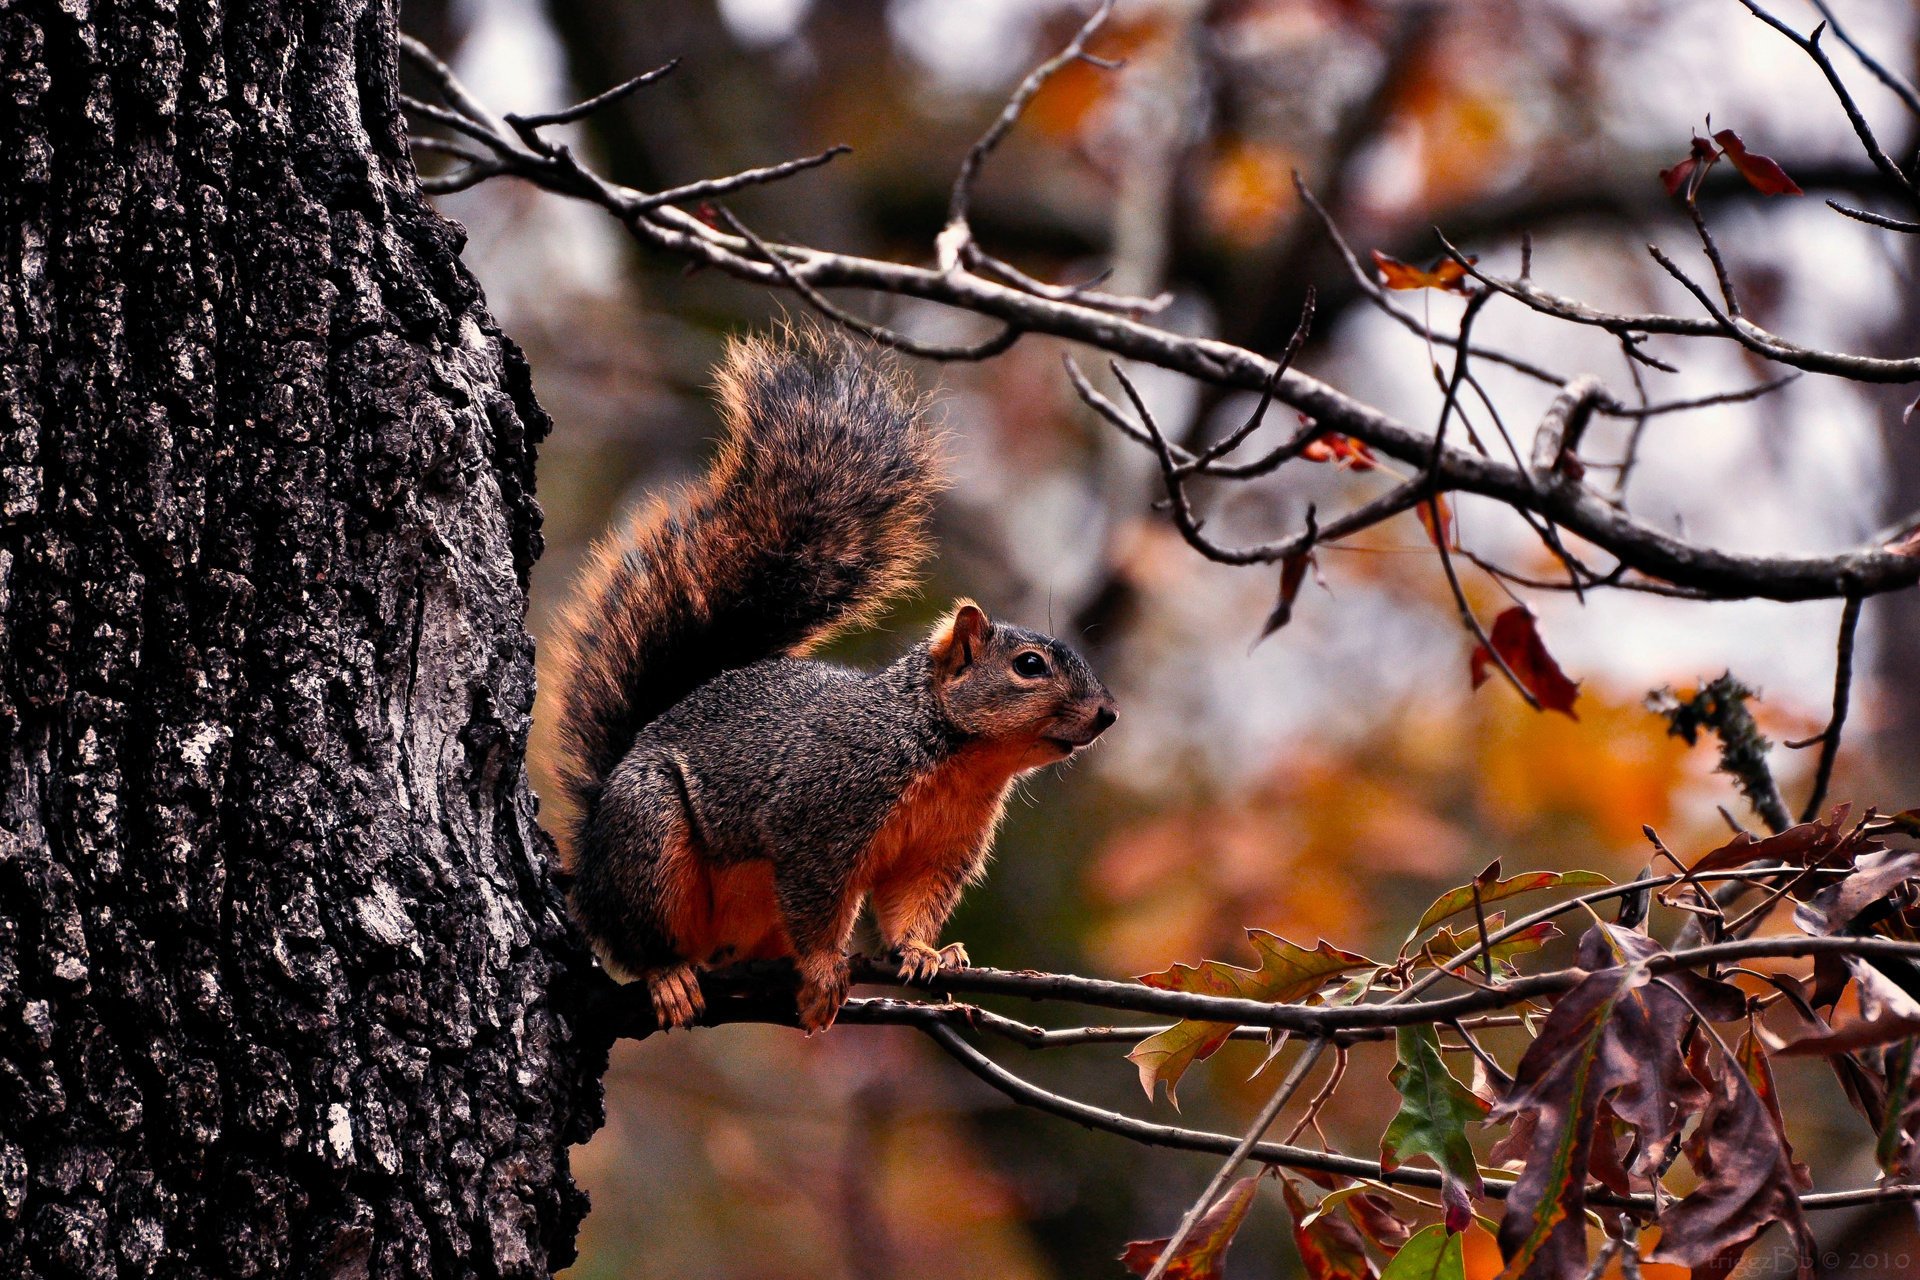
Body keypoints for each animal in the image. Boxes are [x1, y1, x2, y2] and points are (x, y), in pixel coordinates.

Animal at [549, 326, 1121, 1036]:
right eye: (1030, 666)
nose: (1107, 713)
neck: (956, 756)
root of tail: (590, 848)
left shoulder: (940, 848)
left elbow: (911, 903)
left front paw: (926, 951)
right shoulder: (822, 816)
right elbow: (817, 899)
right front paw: (824, 969)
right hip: (647, 833)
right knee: (638, 934)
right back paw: (671, 975)